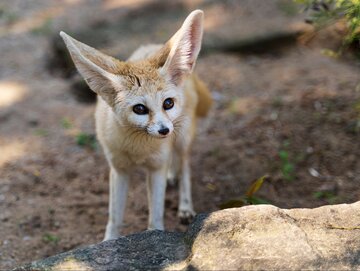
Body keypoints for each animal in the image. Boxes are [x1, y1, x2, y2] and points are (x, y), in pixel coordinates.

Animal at [59, 9, 211, 241]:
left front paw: (155, 237)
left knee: (185, 165)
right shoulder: (118, 169)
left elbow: (155, 217)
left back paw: (185, 205)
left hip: (182, 137)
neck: (138, 148)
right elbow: (115, 217)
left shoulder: (156, 167)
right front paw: (109, 242)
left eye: (168, 103)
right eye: (140, 109)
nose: (164, 130)